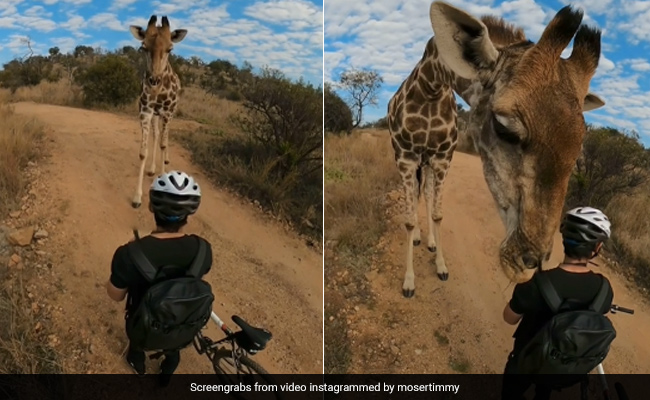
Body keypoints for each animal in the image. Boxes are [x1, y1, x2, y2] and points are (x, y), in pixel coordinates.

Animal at [129, 15, 187, 208]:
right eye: (143, 47)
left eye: (170, 49)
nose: (153, 81)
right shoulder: (146, 112)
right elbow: (143, 151)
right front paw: (137, 197)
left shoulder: (167, 113)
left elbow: (163, 143)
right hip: (156, 115)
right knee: (156, 134)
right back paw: (152, 169)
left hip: (170, 113)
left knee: (165, 136)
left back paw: (165, 162)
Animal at [388, 1, 605, 297]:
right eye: (504, 128)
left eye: (579, 144)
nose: (527, 264)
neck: (429, 88)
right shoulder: (405, 158)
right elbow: (409, 220)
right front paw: (409, 282)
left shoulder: (443, 159)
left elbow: (438, 212)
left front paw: (441, 265)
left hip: (429, 162)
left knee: (428, 194)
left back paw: (430, 241)